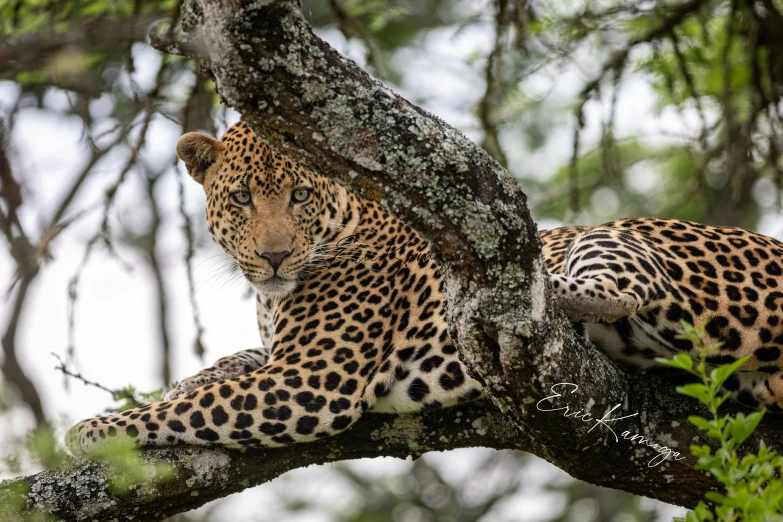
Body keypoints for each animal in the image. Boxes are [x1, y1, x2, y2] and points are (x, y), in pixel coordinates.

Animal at [66, 120, 783, 452]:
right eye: (240, 199)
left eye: (299, 196)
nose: (274, 256)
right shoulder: (281, 359)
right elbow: (218, 372)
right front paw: (184, 379)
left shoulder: (310, 381)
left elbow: (190, 410)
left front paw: (96, 428)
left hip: (633, 235)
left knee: (621, 280)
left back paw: (521, 294)